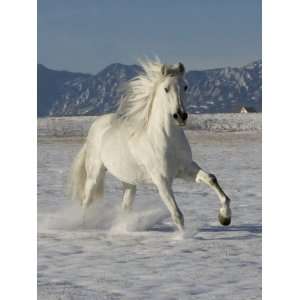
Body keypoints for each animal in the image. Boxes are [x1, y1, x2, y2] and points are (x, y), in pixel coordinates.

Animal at [69, 59, 231, 231]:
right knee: (86, 200)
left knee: (125, 206)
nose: (180, 116)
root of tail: (96, 125)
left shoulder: (186, 169)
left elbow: (211, 179)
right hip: (95, 174)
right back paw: (84, 225)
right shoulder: (162, 180)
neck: (167, 139)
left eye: (185, 86)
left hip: (128, 181)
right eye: (166, 89)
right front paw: (183, 236)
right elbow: (177, 215)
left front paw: (224, 217)